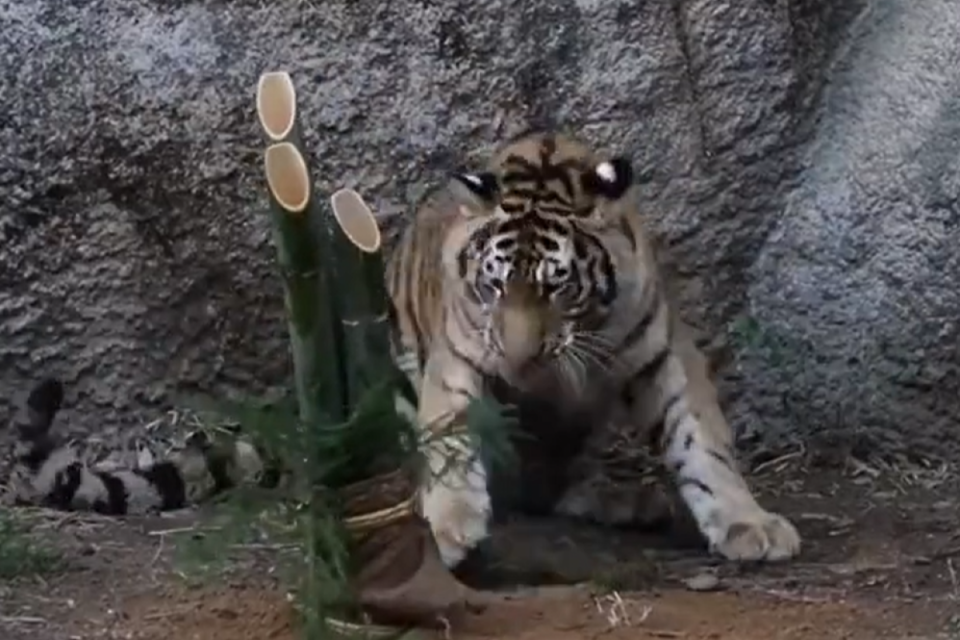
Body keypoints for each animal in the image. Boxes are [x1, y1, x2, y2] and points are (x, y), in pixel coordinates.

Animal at [384, 127, 804, 568]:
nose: (518, 359)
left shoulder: (662, 352)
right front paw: (451, 527)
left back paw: (630, 501)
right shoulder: (460, 355)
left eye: (556, 287)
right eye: (495, 285)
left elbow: (701, 440)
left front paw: (748, 523)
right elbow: (451, 438)